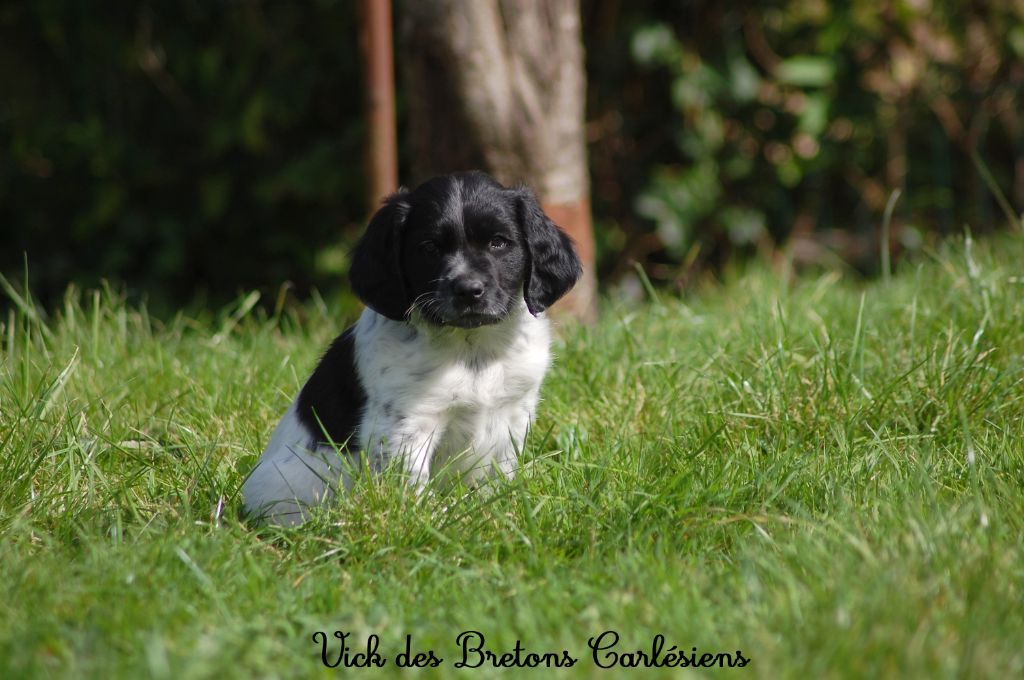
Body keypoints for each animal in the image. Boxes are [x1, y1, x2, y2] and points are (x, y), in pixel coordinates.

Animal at [242, 171, 582, 525]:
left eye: (498, 242)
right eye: (430, 247)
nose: (468, 290)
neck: (472, 349)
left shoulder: (514, 413)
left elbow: (499, 478)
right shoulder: (405, 426)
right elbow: (413, 485)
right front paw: (434, 521)